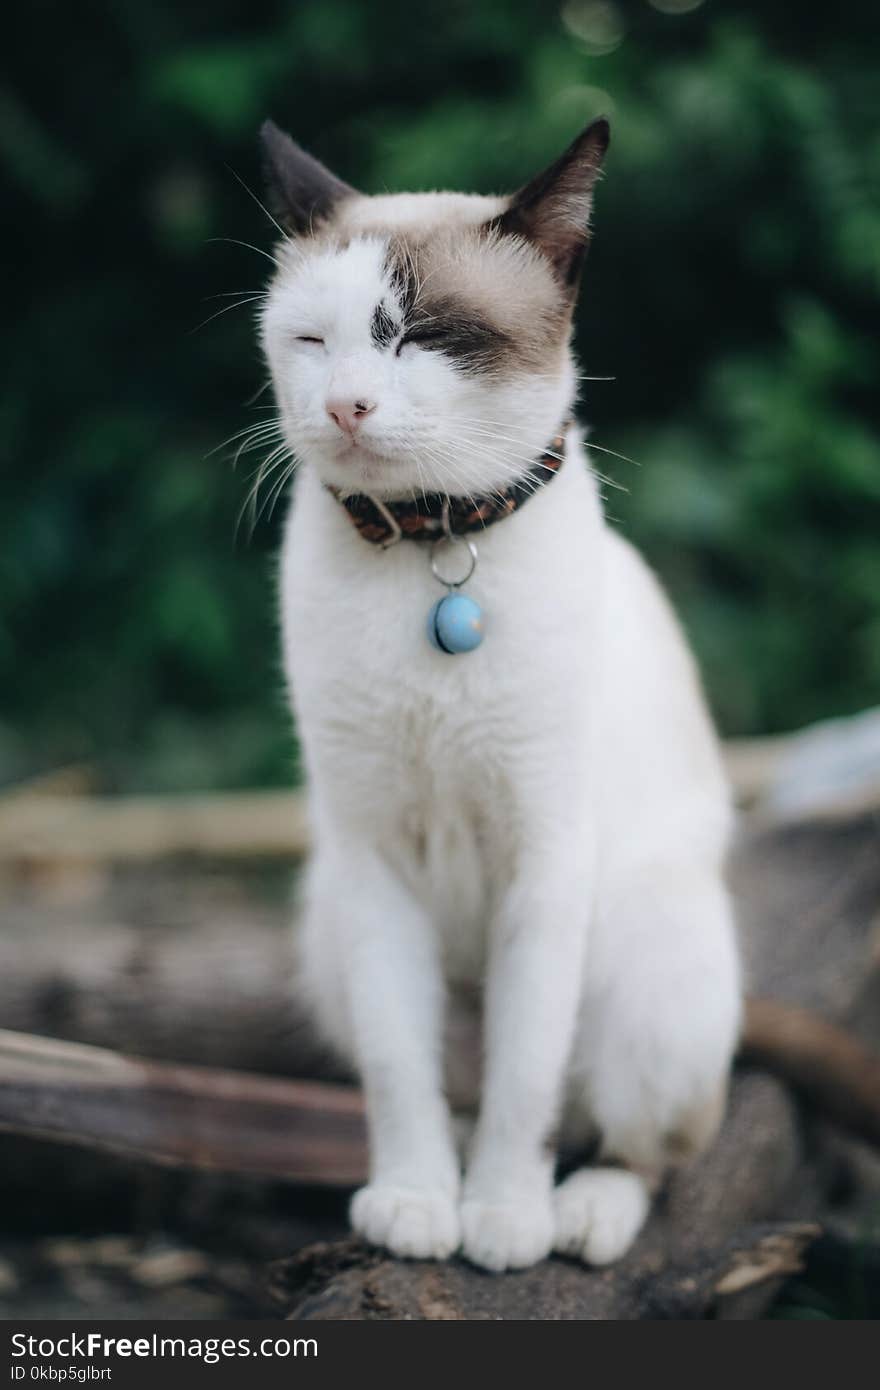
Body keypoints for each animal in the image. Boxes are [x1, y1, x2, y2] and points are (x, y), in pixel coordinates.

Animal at [257, 119, 739, 1273]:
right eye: (312, 342)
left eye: (422, 337)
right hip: (327, 923)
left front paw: (505, 1219)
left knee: (635, 1137)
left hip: (645, 961)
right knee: (460, 1084)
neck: (432, 542)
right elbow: (403, 1070)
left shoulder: (544, 854)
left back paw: (581, 1214)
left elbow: (530, 1075)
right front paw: (417, 1203)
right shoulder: (375, 858)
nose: (344, 404)